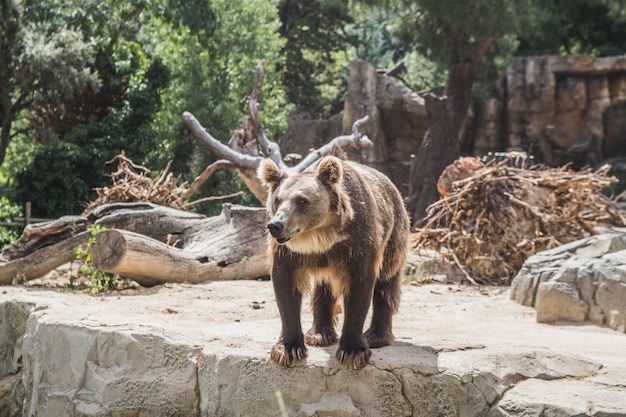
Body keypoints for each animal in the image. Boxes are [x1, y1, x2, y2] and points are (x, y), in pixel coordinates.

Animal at [256, 154, 408, 368]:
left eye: (301, 200)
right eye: (277, 200)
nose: (275, 225)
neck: (320, 237)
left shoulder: (359, 242)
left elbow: (360, 288)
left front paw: (353, 351)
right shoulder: (286, 252)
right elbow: (285, 288)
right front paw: (288, 348)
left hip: (393, 236)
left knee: (386, 282)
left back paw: (376, 336)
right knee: (324, 288)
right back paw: (319, 334)